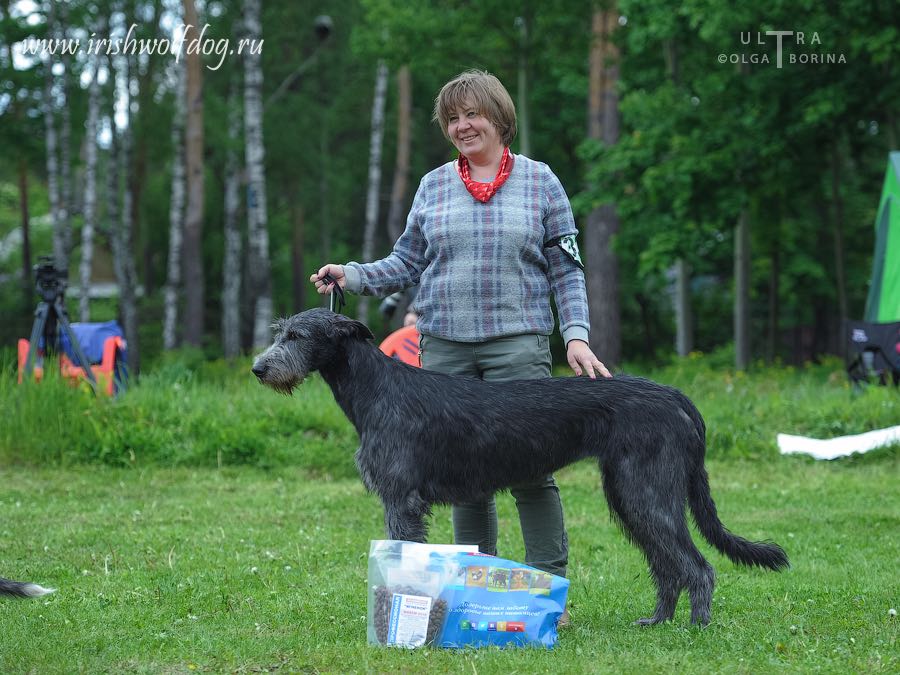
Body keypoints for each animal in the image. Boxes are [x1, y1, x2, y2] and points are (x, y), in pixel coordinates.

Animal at [253, 308, 788, 624]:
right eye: (280, 333)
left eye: (298, 335)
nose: (260, 368)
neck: (375, 388)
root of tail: (680, 398)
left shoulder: (401, 499)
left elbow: (406, 554)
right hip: (630, 495)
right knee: (667, 565)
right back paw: (658, 620)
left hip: (647, 493)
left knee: (697, 566)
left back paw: (696, 627)